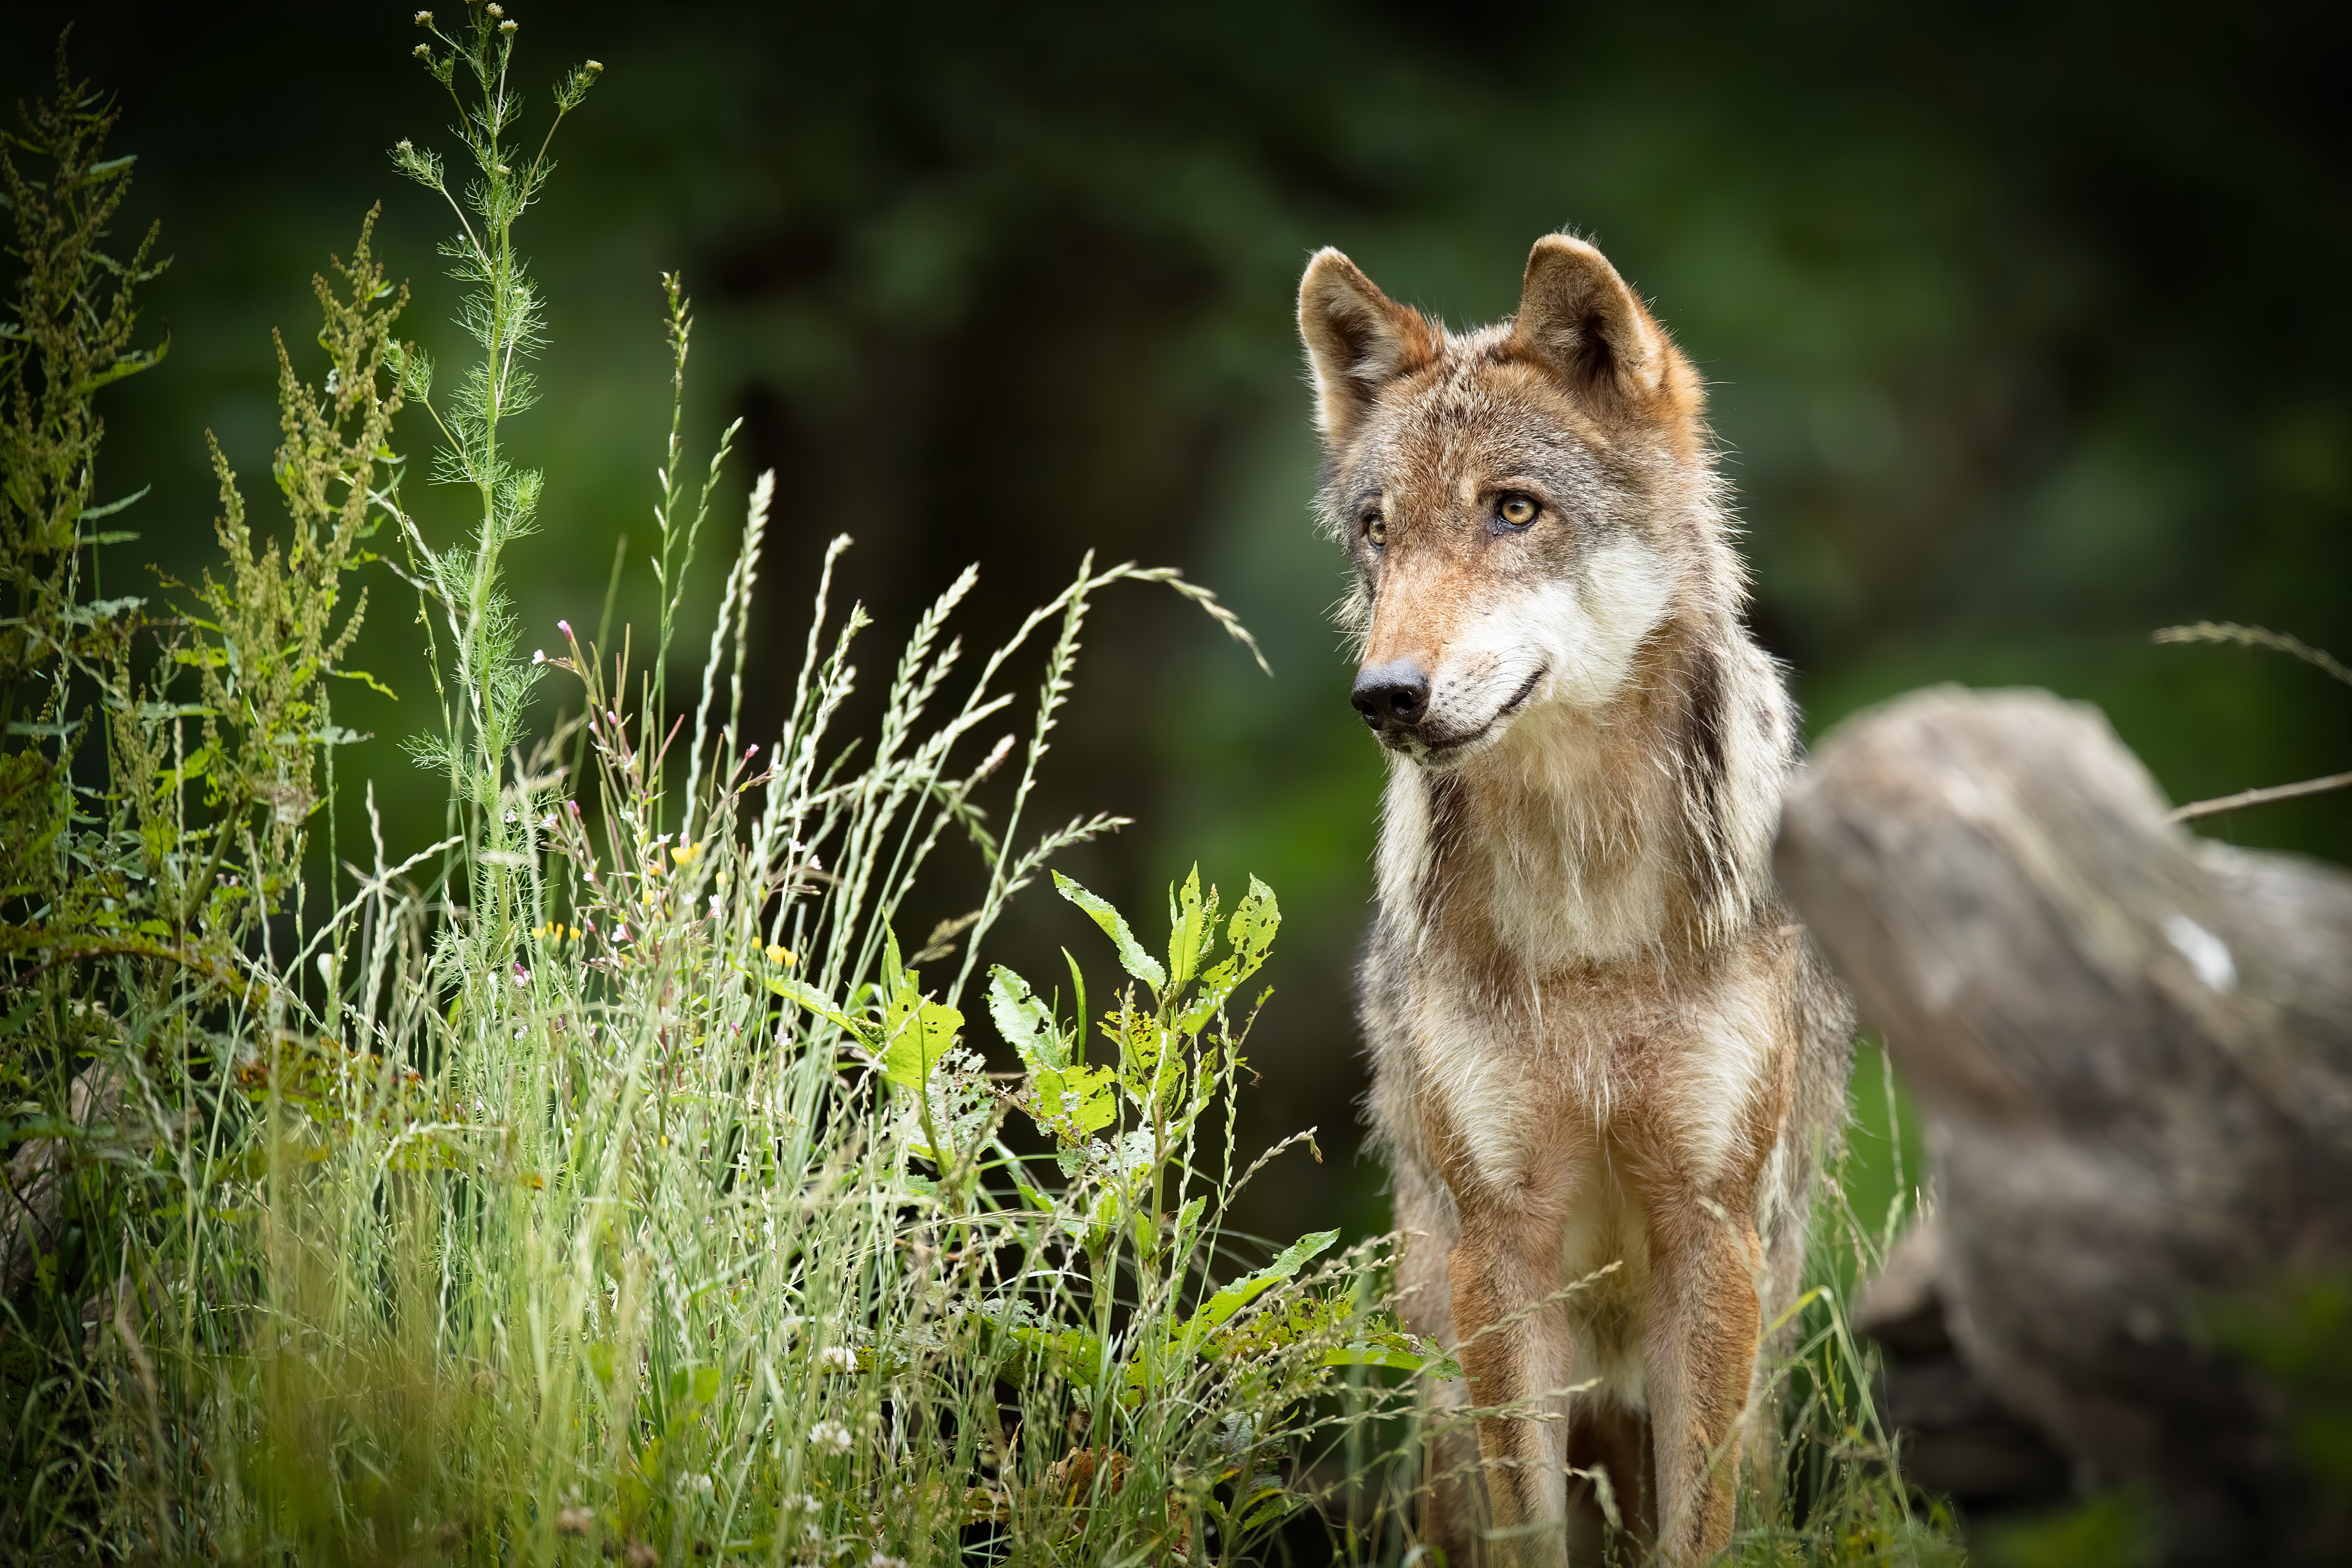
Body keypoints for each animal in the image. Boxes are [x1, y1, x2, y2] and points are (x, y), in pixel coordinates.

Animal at [1298, 236, 1844, 1568]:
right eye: (1378, 531)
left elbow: (1694, 1533)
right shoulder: (1503, 1241)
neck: (1585, 904)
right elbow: (1528, 1527)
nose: (1386, 693)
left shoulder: (1708, 1229)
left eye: (1513, 508)